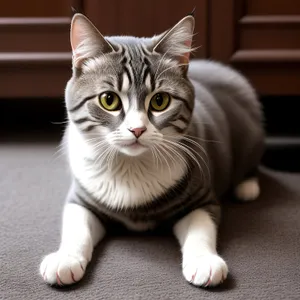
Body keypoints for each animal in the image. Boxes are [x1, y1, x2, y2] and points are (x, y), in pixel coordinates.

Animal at [40, 12, 264, 288]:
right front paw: (65, 259)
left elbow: (201, 227)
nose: (137, 129)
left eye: (160, 101)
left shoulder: (201, 196)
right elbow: (76, 226)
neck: (130, 167)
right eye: (109, 100)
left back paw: (247, 187)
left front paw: (204, 262)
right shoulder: (82, 197)